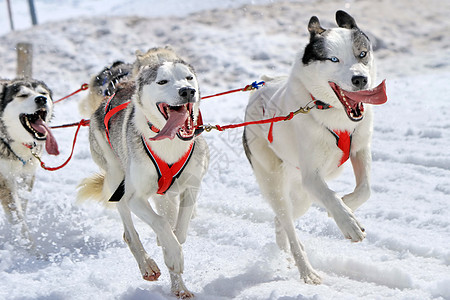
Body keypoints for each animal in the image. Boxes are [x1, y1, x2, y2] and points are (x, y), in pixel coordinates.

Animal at [0, 77, 59, 248]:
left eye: (43, 93)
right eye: (22, 95)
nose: (41, 99)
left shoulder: (26, 176)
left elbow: (22, 207)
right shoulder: (5, 180)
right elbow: (18, 217)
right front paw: (31, 249)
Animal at [77, 47, 209, 298]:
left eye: (188, 77)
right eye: (162, 81)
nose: (188, 91)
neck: (170, 143)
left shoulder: (192, 186)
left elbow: (180, 228)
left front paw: (172, 249)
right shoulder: (134, 198)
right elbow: (161, 223)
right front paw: (173, 253)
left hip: (165, 194)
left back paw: (179, 288)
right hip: (117, 178)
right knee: (129, 233)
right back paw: (147, 265)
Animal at [243, 10, 386, 284]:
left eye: (362, 54)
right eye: (334, 59)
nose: (360, 79)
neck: (330, 112)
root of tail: (263, 87)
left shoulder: (360, 149)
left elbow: (365, 189)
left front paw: (347, 205)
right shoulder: (312, 176)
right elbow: (330, 196)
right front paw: (347, 222)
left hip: (302, 198)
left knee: (281, 222)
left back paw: (285, 248)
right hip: (276, 184)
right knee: (287, 223)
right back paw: (307, 271)